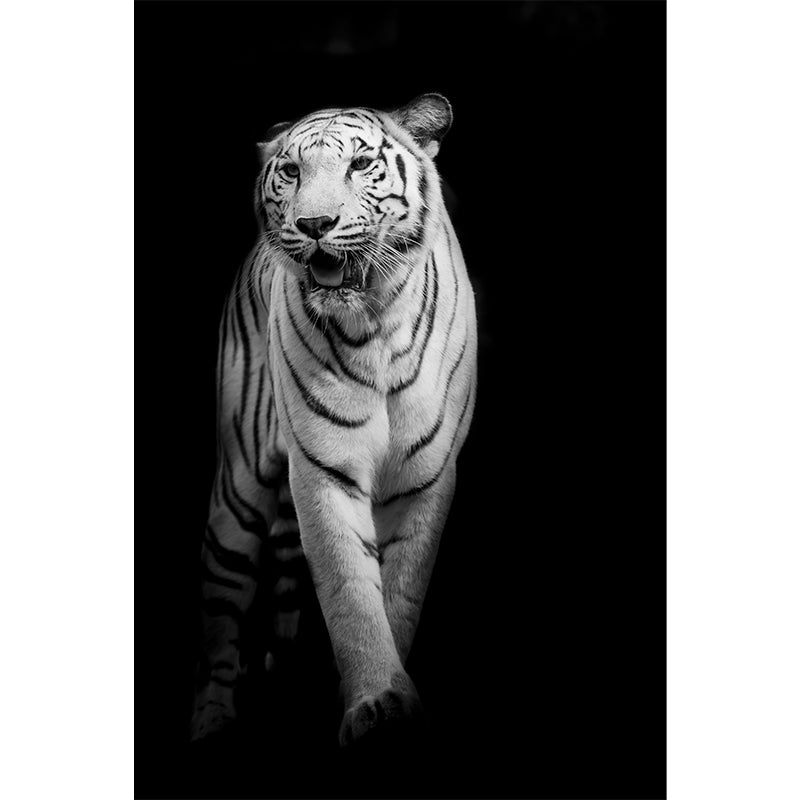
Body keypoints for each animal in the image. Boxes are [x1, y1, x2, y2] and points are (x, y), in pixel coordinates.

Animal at [190, 93, 478, 747]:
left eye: (362, 164)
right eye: (292, 172)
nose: (314, 225)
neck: (374, 321)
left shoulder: (426, 476)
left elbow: (399, 592)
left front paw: (389, 702)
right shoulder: (323, 470)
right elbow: (349, 591)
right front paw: (376, 702)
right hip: (237, 492)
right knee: (220, 619)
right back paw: (212, 719)